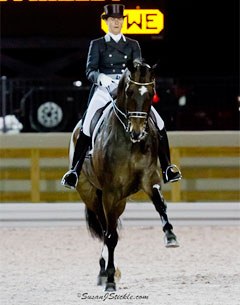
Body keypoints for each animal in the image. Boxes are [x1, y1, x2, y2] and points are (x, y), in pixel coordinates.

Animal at [69, 59, 178, 290]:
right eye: (129, 92)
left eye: (152, 93)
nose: (137, 132)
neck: (130, 143)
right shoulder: (110, 192)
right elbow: (110, 237)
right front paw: (110, 279)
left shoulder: (149, 178)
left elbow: (160, 204)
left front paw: (170, 235)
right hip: (91, 193)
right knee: (105, 229)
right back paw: (104, 272)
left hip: (120, 200)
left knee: (110, 228)